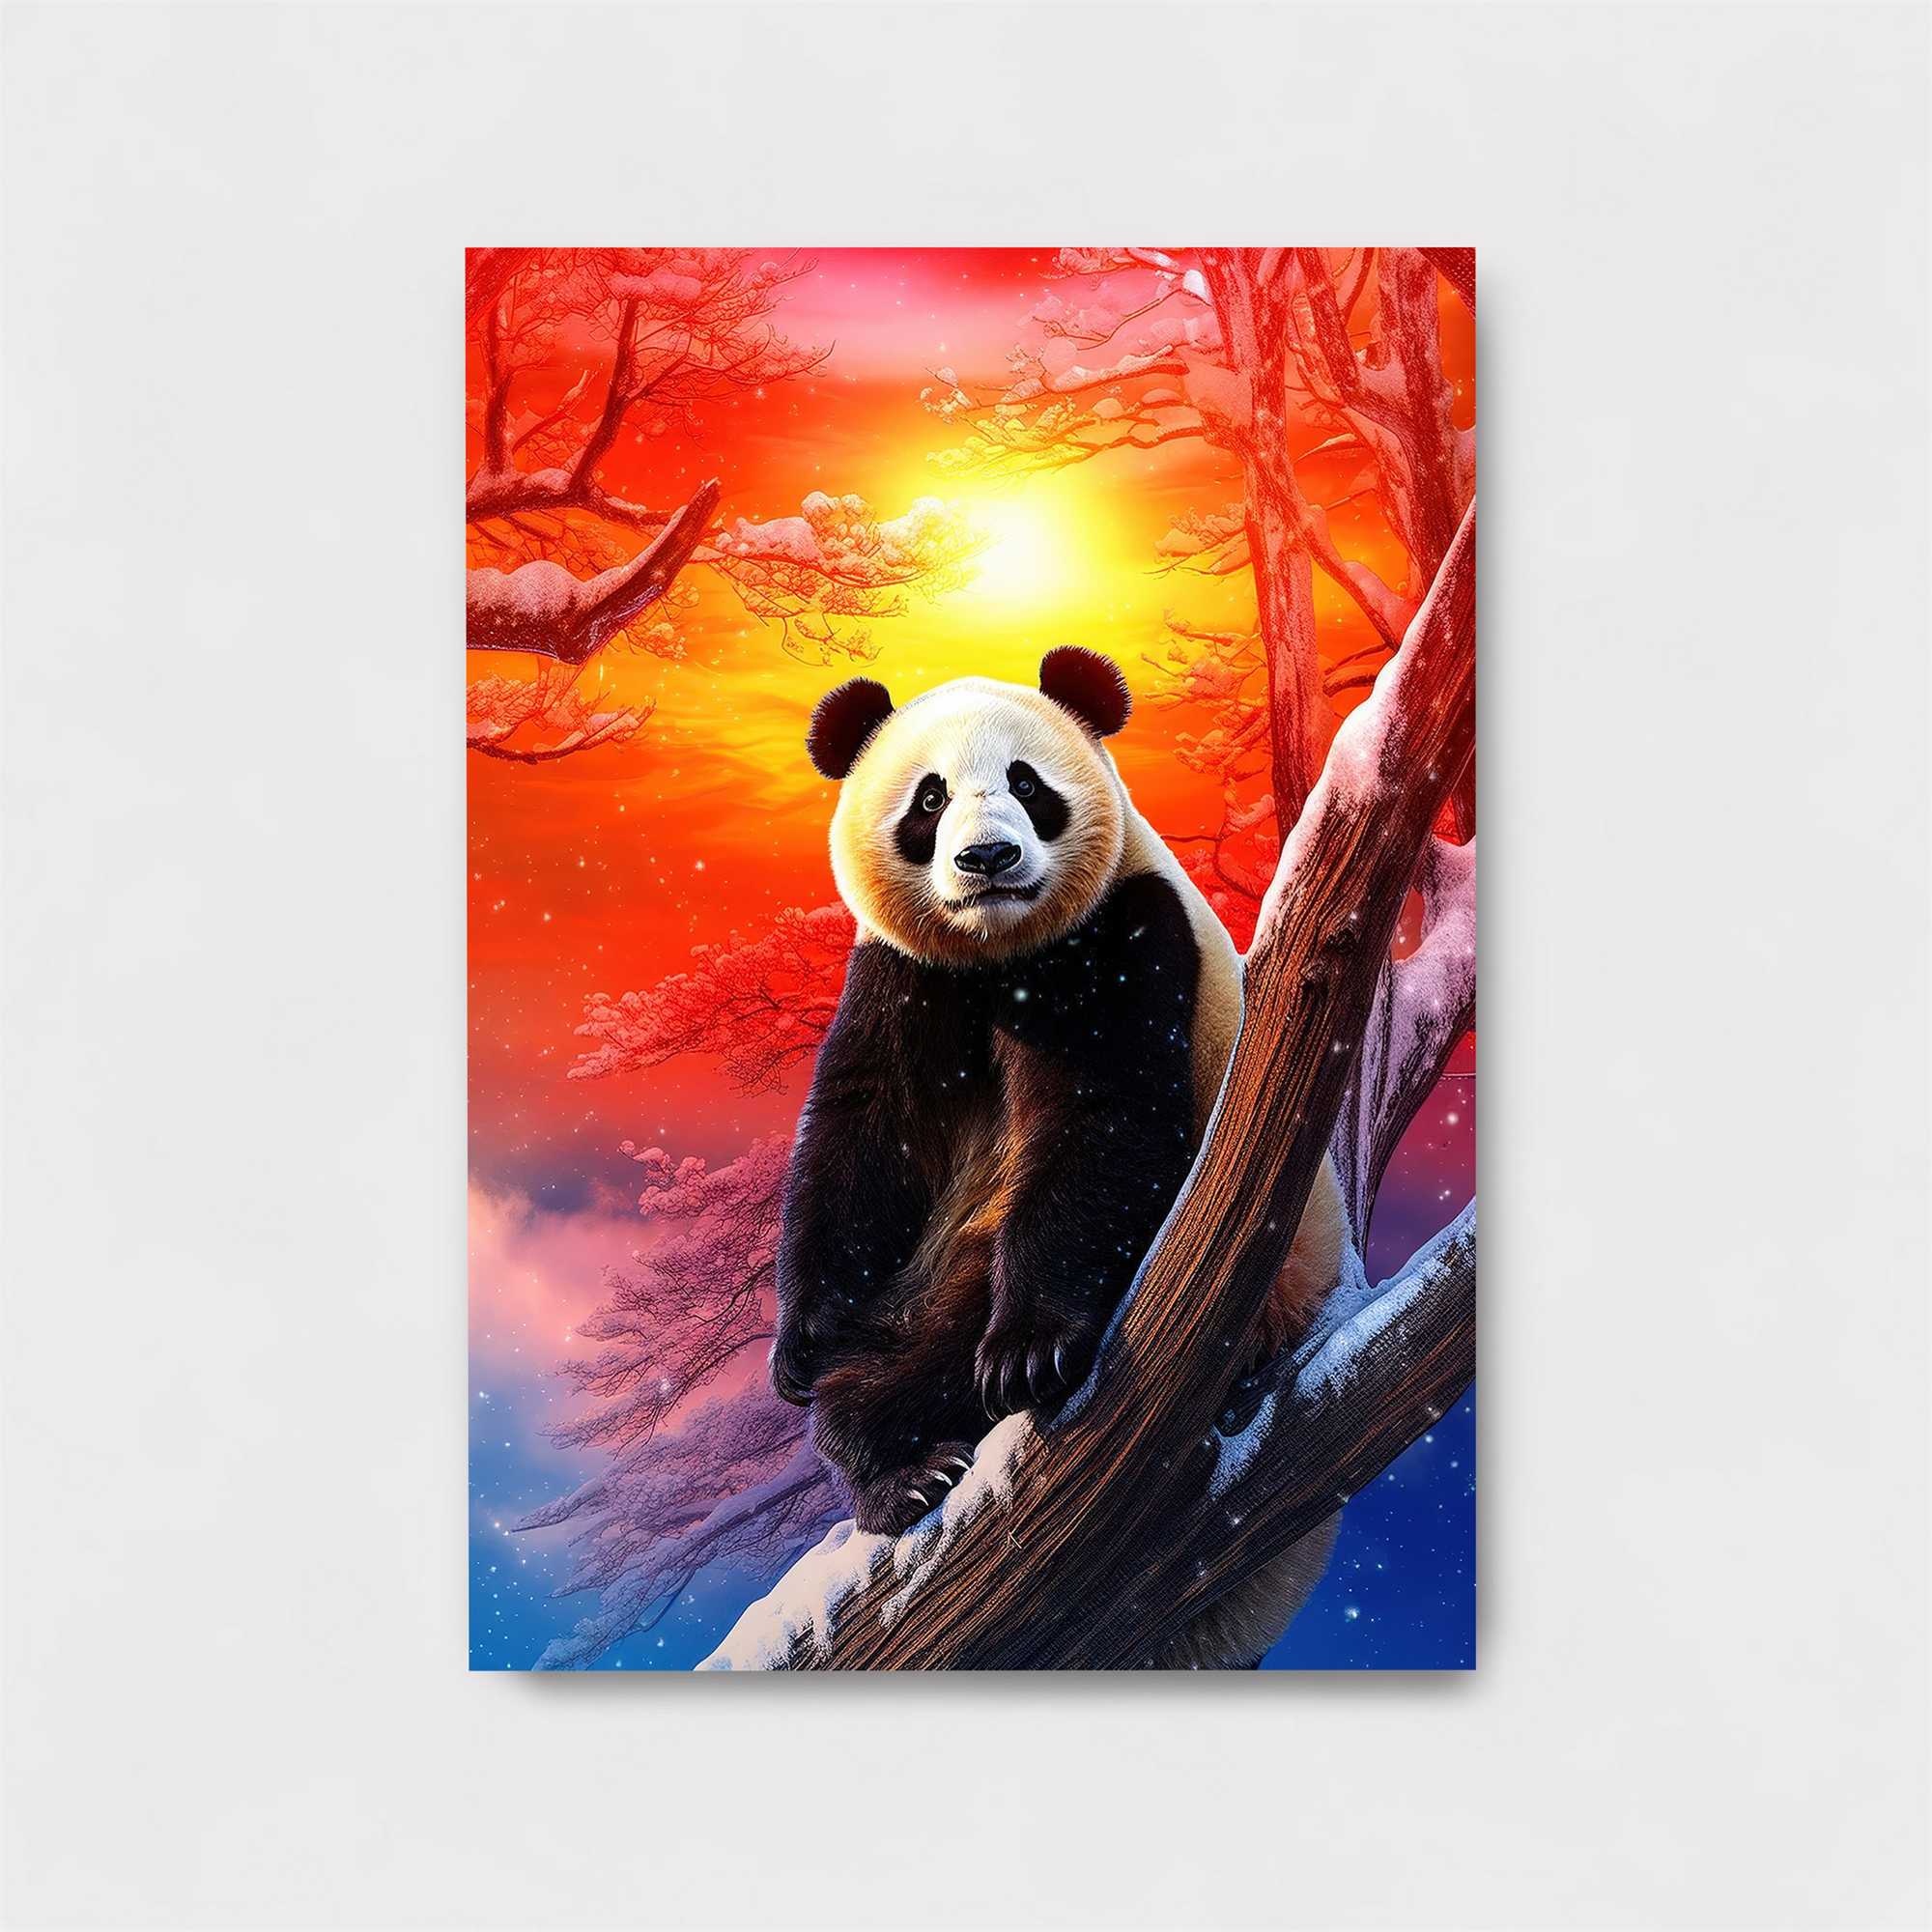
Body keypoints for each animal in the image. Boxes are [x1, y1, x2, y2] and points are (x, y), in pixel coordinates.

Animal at [771, 646, 1346, 1667]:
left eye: (1027, 785)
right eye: (929, 799)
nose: (987, 859)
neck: (1000, 951)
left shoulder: (1127, 934)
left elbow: (1102, 1121)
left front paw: (1029, 1353)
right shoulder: (903, 972)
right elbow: (863, 1134)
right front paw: (802, 1343)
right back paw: (899, 1474)